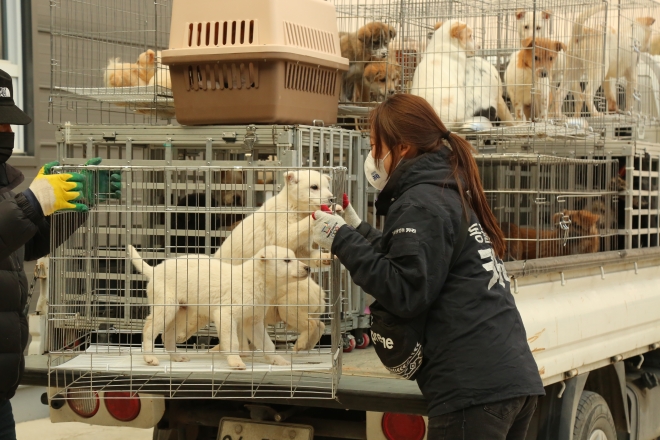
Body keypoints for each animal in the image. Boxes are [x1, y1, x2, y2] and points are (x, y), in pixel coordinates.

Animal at [132, 244, 312, 368]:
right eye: (287, 260)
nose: (308, 268)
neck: (254, 280)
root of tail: (154, 270)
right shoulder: (225, 315)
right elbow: (232, 342)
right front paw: (235, 362)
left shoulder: (253, 322)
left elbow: (267, 344)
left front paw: (278, 360)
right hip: (166, 307)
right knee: (149, 329)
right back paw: (149, 358)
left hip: (182, 310)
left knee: (167, 335)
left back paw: (177, 357)